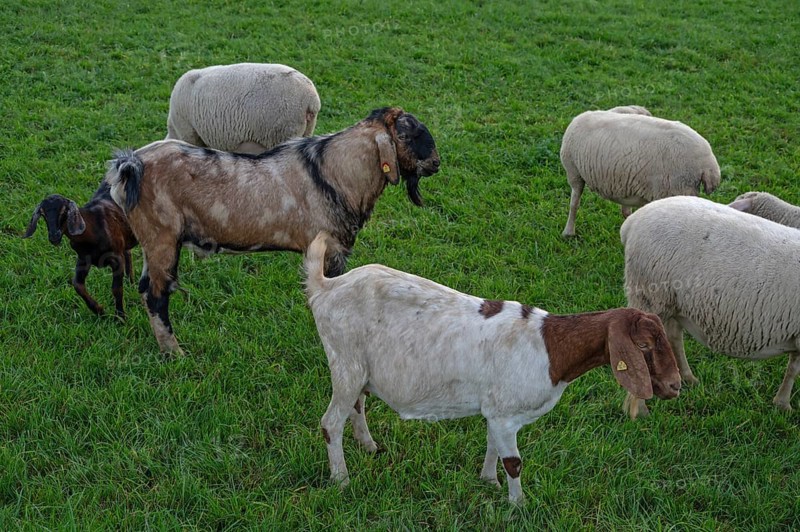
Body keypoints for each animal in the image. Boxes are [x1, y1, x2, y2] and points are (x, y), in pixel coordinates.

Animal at [23, 180, 138, 318]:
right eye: (43, 214)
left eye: (64, 211)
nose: (54, 236)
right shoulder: (83, 259)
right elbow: (77, 285)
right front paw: (100, 311)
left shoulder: (116, 258)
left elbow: (116, 289)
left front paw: (120, 317)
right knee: (128, 252)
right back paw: (131, 283)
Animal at [107, 107, 440, 353]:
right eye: (409, 134)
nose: (436, 163)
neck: (334, 172)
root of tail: (130, 164)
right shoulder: (331, 250)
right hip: (162, 238)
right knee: (156, 295)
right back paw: (174, 352)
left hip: (153, 242)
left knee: (144, 288)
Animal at [303, 231, 681, 504]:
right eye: (644, 346)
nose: (675, 385)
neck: (552, 349)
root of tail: (325, 287)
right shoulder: (505, 413)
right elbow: (513, 462)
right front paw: (519, 506)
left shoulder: (498, 411)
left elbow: (493, 448)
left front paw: (490, 483)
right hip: (345, 362)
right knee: (330, 423)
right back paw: (342, 480)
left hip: (359, 369)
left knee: (357, 404)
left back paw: (369, 446)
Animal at [560, 106, 720, 236]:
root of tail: (708, 164)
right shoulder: (624, 183)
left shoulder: (574, 172)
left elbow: (574, 203)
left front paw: (568, 232)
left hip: (675, 188)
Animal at [621, 196, 800, 419]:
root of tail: (633, 221)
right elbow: (794, 369)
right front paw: (783, 404)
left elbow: (793, 367)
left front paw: (782, 404)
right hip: (648, 295)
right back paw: (640, 410)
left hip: (672, 301)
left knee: (673, 336)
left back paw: (687, 378)